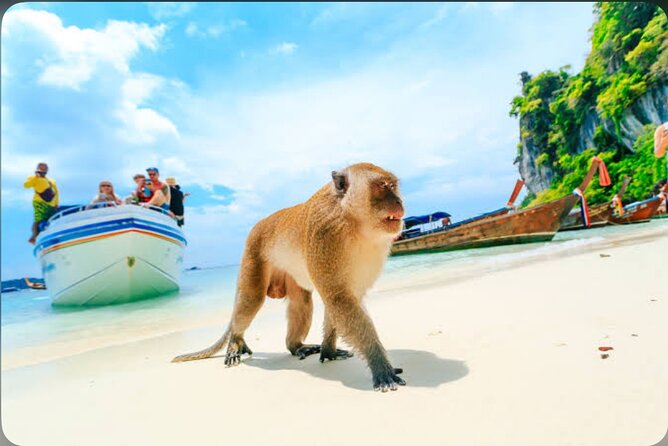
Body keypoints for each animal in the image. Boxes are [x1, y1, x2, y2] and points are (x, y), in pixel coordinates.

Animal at [173, 162, 406, 392]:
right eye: (383, 186)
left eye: (393, 186)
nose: (399, 201)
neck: (353, 221)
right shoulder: (325, 234)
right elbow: (339, 298)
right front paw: (380, 366)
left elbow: (341, 299)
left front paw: (329, 351)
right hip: (253, 254)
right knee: (251, 299)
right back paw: (235, 342)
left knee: (301, 302)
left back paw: (296, 346)